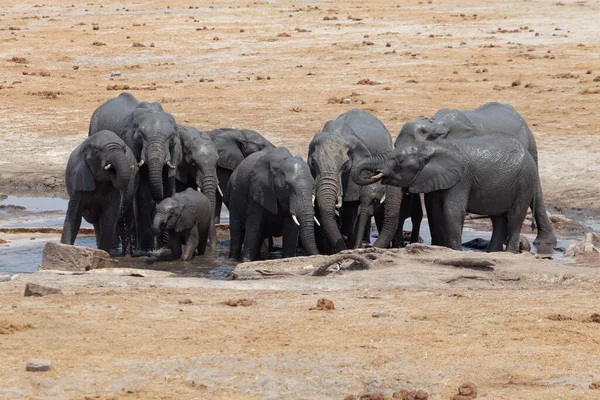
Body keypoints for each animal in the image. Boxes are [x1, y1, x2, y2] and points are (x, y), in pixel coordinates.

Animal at [86, 92, 180, 252]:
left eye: (172, 138)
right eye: (140, 137)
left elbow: (169, 189)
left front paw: (164, 247)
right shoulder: (131, 144)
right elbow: (142, 193)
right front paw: (147, 250)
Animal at [350, 135, 536, 253]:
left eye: (400, 162)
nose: (365, 247)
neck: (434, 147)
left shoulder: (461, 178)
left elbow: (451, 211)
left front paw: (456, 251)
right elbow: (437, 213)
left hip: (525, 181)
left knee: (515, 216)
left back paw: (509, 253)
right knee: (497, 219)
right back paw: (494, 253)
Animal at [394, 100, 556, 250]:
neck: (435, 125)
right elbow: (432, 204)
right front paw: (438, 246)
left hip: (530, 148)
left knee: (535, 193)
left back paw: (544, 243)